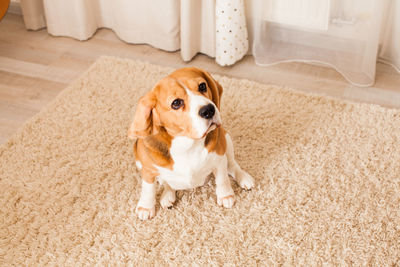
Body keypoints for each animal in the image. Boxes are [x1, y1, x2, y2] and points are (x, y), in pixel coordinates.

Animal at [129, 68, 253, 221]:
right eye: (176, 103)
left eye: (202, 86)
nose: (209, 110)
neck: (188, 143)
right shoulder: (147, 170)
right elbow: (147, 189)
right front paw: (145, 207)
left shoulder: (219, 158)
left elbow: (222, 178)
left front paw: (226, 195)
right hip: (138, 161)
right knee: (166, 183)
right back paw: (167, 196)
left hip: (226, 139)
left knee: (232, 165)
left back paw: (243, 177)